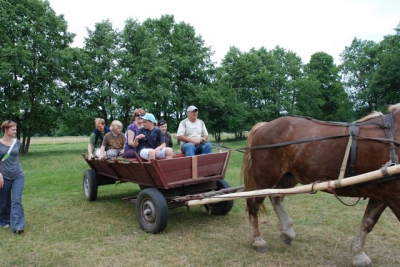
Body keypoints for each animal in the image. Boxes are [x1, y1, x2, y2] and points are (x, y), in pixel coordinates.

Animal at [242, 104, 398, 267]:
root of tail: (263, 126)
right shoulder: (393, 195)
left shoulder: (383, 194)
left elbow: (368, 222)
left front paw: (358, 254)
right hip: (265, 178)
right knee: (253, 204)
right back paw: (257, 240)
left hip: (288, 176)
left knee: (276, 196)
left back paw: (287, 232)